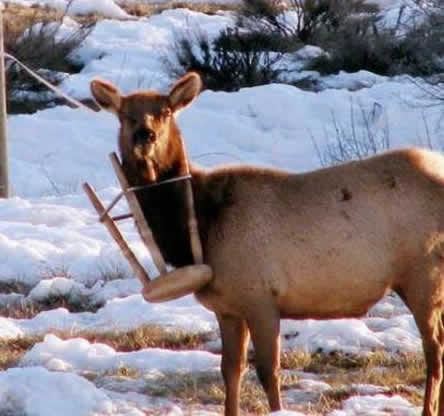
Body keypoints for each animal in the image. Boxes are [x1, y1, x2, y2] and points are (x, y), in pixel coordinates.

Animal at [91, 72, 444, 416]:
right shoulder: (227, 308)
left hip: (423, 275)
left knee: (434, 349)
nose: (144, 135)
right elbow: (230, 371)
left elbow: (268, 372)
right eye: (124, 115)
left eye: (165, 111)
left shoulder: (261, 298)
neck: (202, 225)